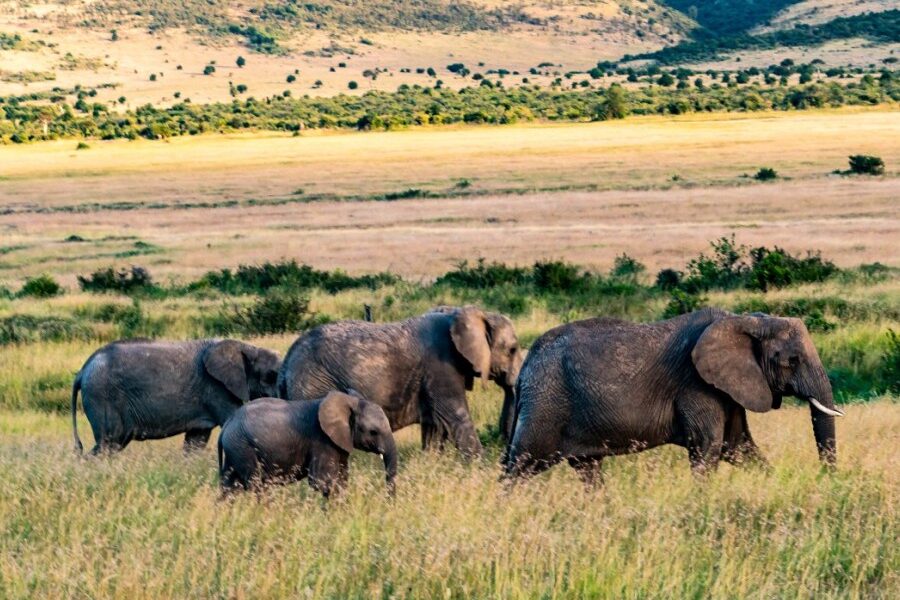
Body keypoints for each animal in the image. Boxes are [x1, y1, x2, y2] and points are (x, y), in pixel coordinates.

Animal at [71, 339, 281, 454]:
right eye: (271, 376)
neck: (247, 347)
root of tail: (82, 371)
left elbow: (195, 442)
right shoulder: (217, 389)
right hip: (103, 396)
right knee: (108, 442)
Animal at [218, 391, 397, 498]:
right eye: (373, 432)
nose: (388, 501)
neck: (348, 400)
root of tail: (227, 423)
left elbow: (342, 479)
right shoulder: (321, 440)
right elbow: (321, 481)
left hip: (235, 448)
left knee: (230, 485)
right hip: (243, 447)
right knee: (256, 485)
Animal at [279, 305, 524, 458]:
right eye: (512, 350)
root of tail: (287, 362)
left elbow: (434, 427)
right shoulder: (442, 367)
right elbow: (457, 418)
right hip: (313, 384)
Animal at [504, 308, 843, 483]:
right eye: (791, 361)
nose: (826, 479)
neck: (746, 320)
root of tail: (526, 366)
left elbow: (738, 447)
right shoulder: (695, 386)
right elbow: (708, 448)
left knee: (588, 470)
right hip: (546, 404)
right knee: (520, 465)